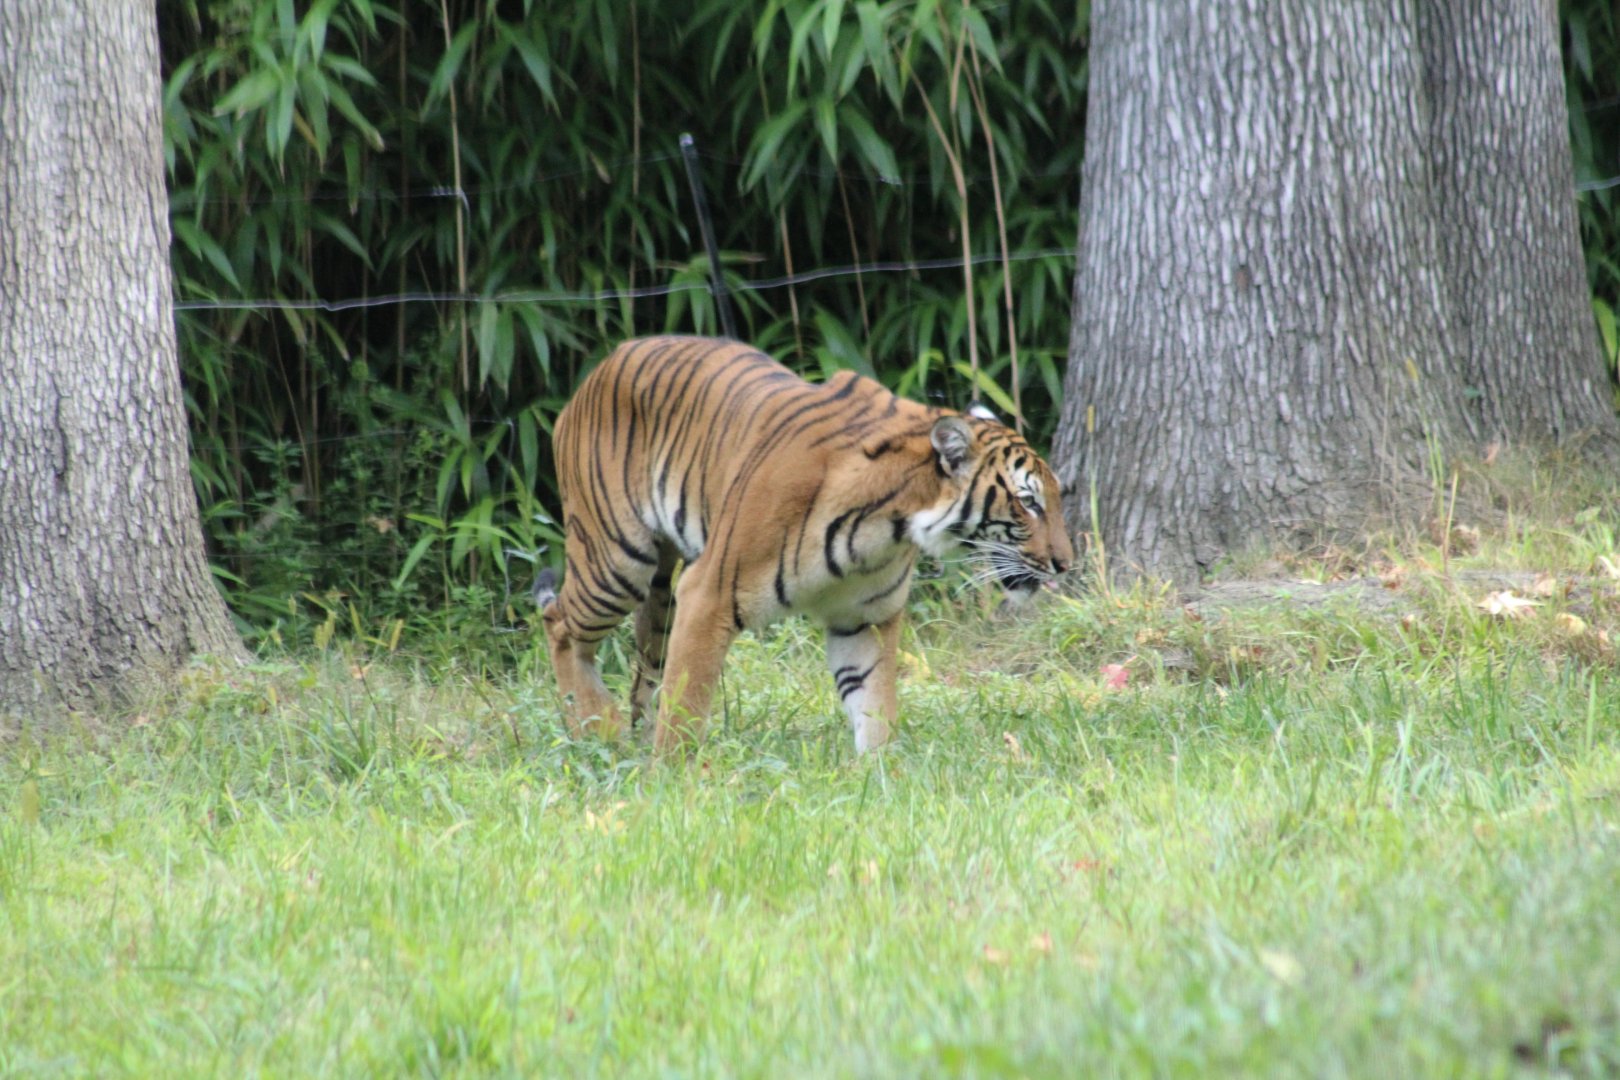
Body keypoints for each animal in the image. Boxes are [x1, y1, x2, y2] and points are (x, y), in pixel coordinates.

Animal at [535, 335, 1074, 754]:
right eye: (1028, 503)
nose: (1066, 564)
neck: (889, 526)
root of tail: (601, 367)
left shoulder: (864, 618)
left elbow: (875, 705)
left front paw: (882, 779)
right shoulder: (708, 594)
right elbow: (687, 708)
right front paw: (669, 784)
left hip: (661, 595)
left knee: (645, 668)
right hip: (617, 560)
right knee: (559, 623)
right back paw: (594, 728)